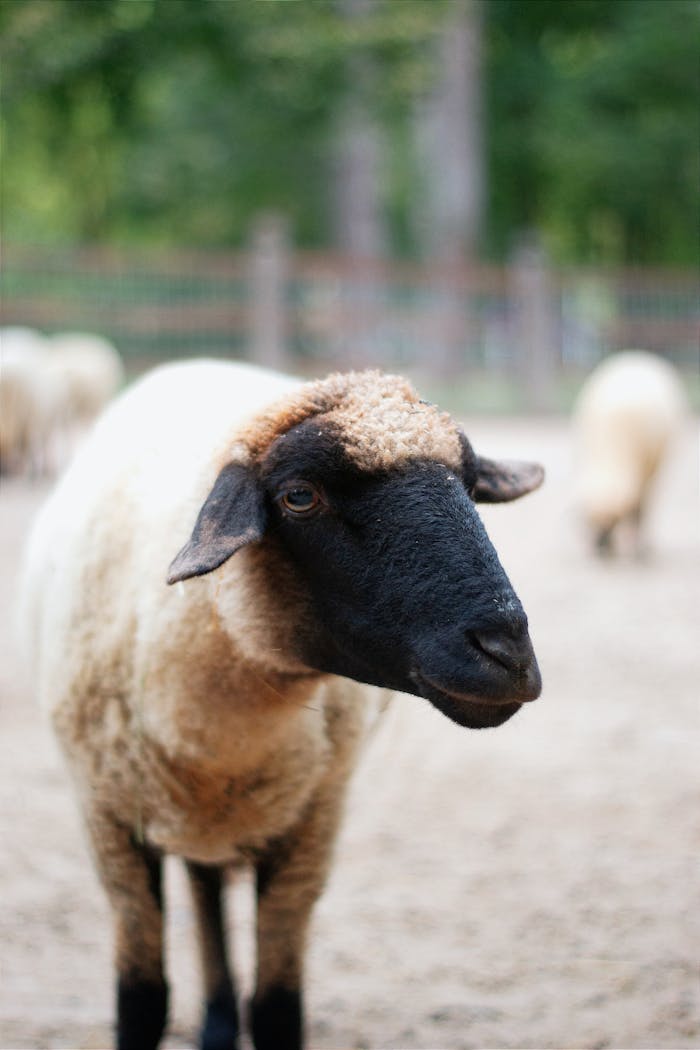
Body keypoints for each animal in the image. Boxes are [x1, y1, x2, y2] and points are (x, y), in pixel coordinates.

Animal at [20, 359, 544, 1050]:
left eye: (469, 482)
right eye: (299, 497)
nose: (508, 654)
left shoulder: (312, 823)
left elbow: (275, 1009)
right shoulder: (107, 819)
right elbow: (141, 1002)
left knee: (207, 885)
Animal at [572, 350, 687, 557]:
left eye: (612, 522)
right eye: (588, 523)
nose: (600, 547)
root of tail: (637, 354)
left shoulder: (645, 471)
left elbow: (638, 507)